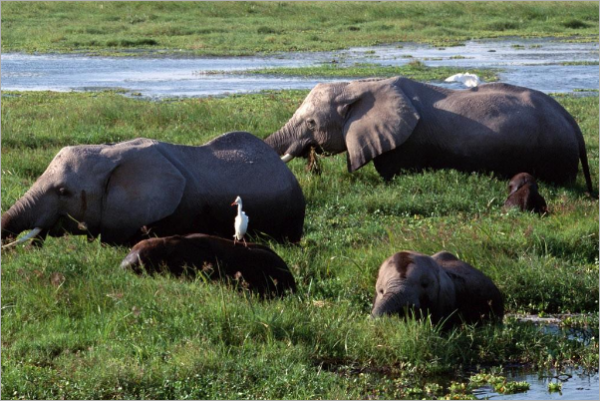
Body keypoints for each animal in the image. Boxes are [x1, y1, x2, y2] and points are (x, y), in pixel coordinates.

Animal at [268, 77, 596, 194]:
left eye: (311, 123)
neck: (359, 86)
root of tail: (572, 122)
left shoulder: (405, 144)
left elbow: (391, 173)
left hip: (555, 154)